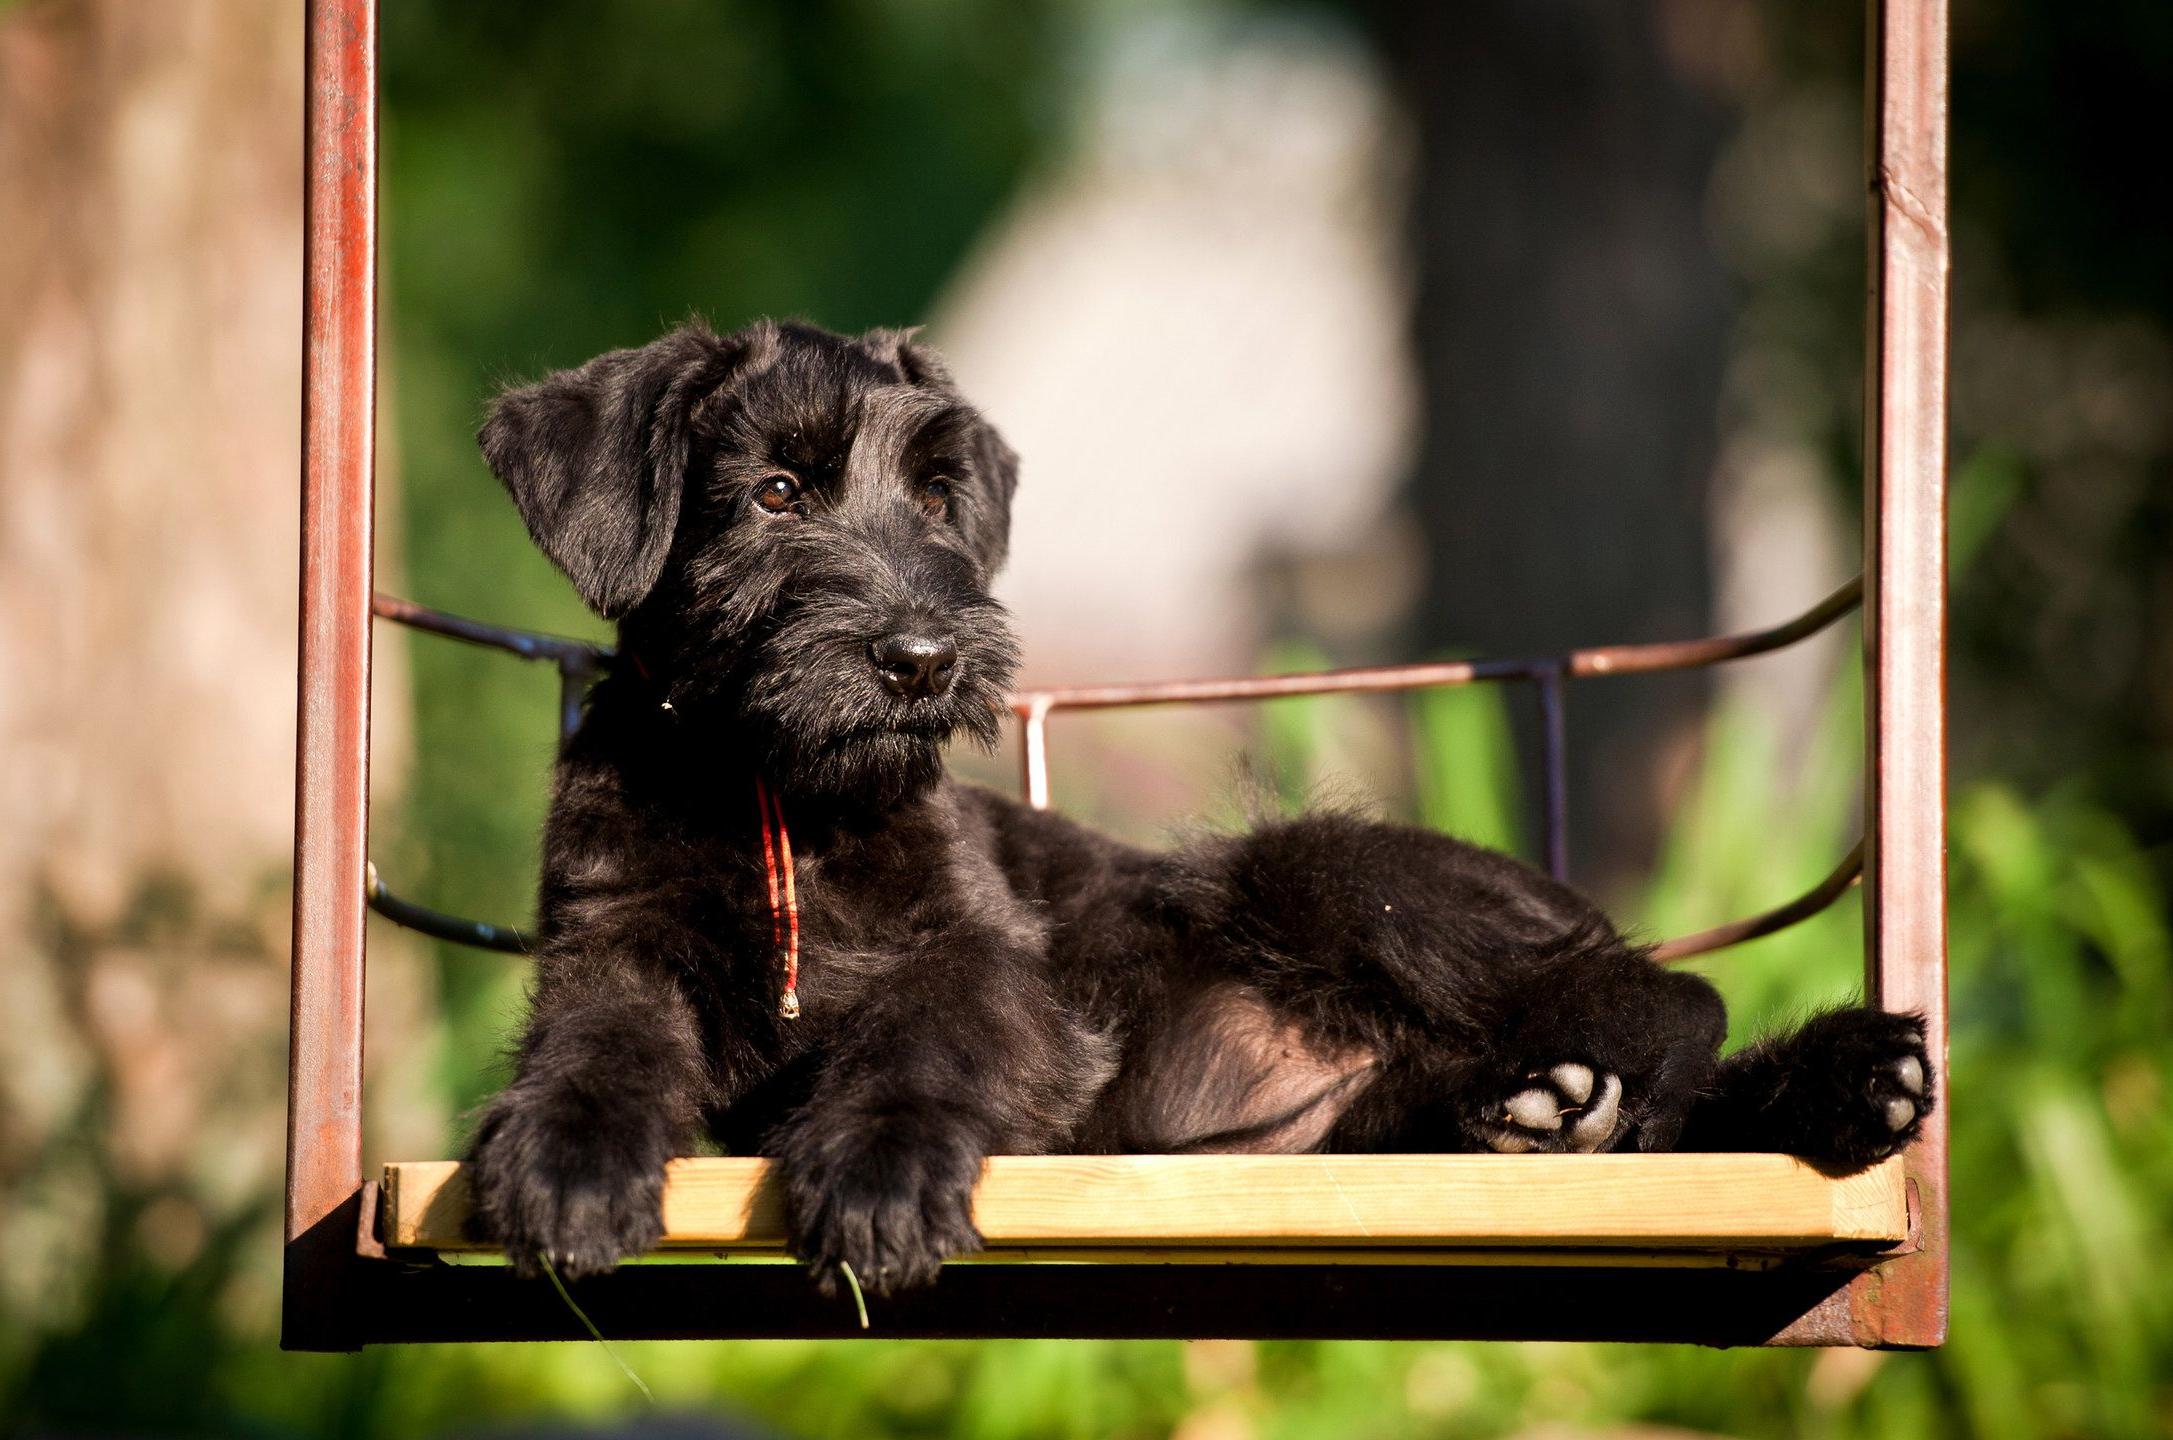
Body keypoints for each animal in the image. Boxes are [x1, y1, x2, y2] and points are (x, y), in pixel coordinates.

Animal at [467, 319, 1929, 1294]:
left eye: (938, 494)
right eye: (774, 491)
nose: (924, 659)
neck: (779, 798)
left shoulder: (990, 966)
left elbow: (923, 1038)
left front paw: (880, 1177)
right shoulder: (608, 942)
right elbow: (599, 1040)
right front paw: (568, 1159)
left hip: (1323, 868)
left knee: (1673, 1006)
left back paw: (1689, 1093)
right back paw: (1575, 1112)